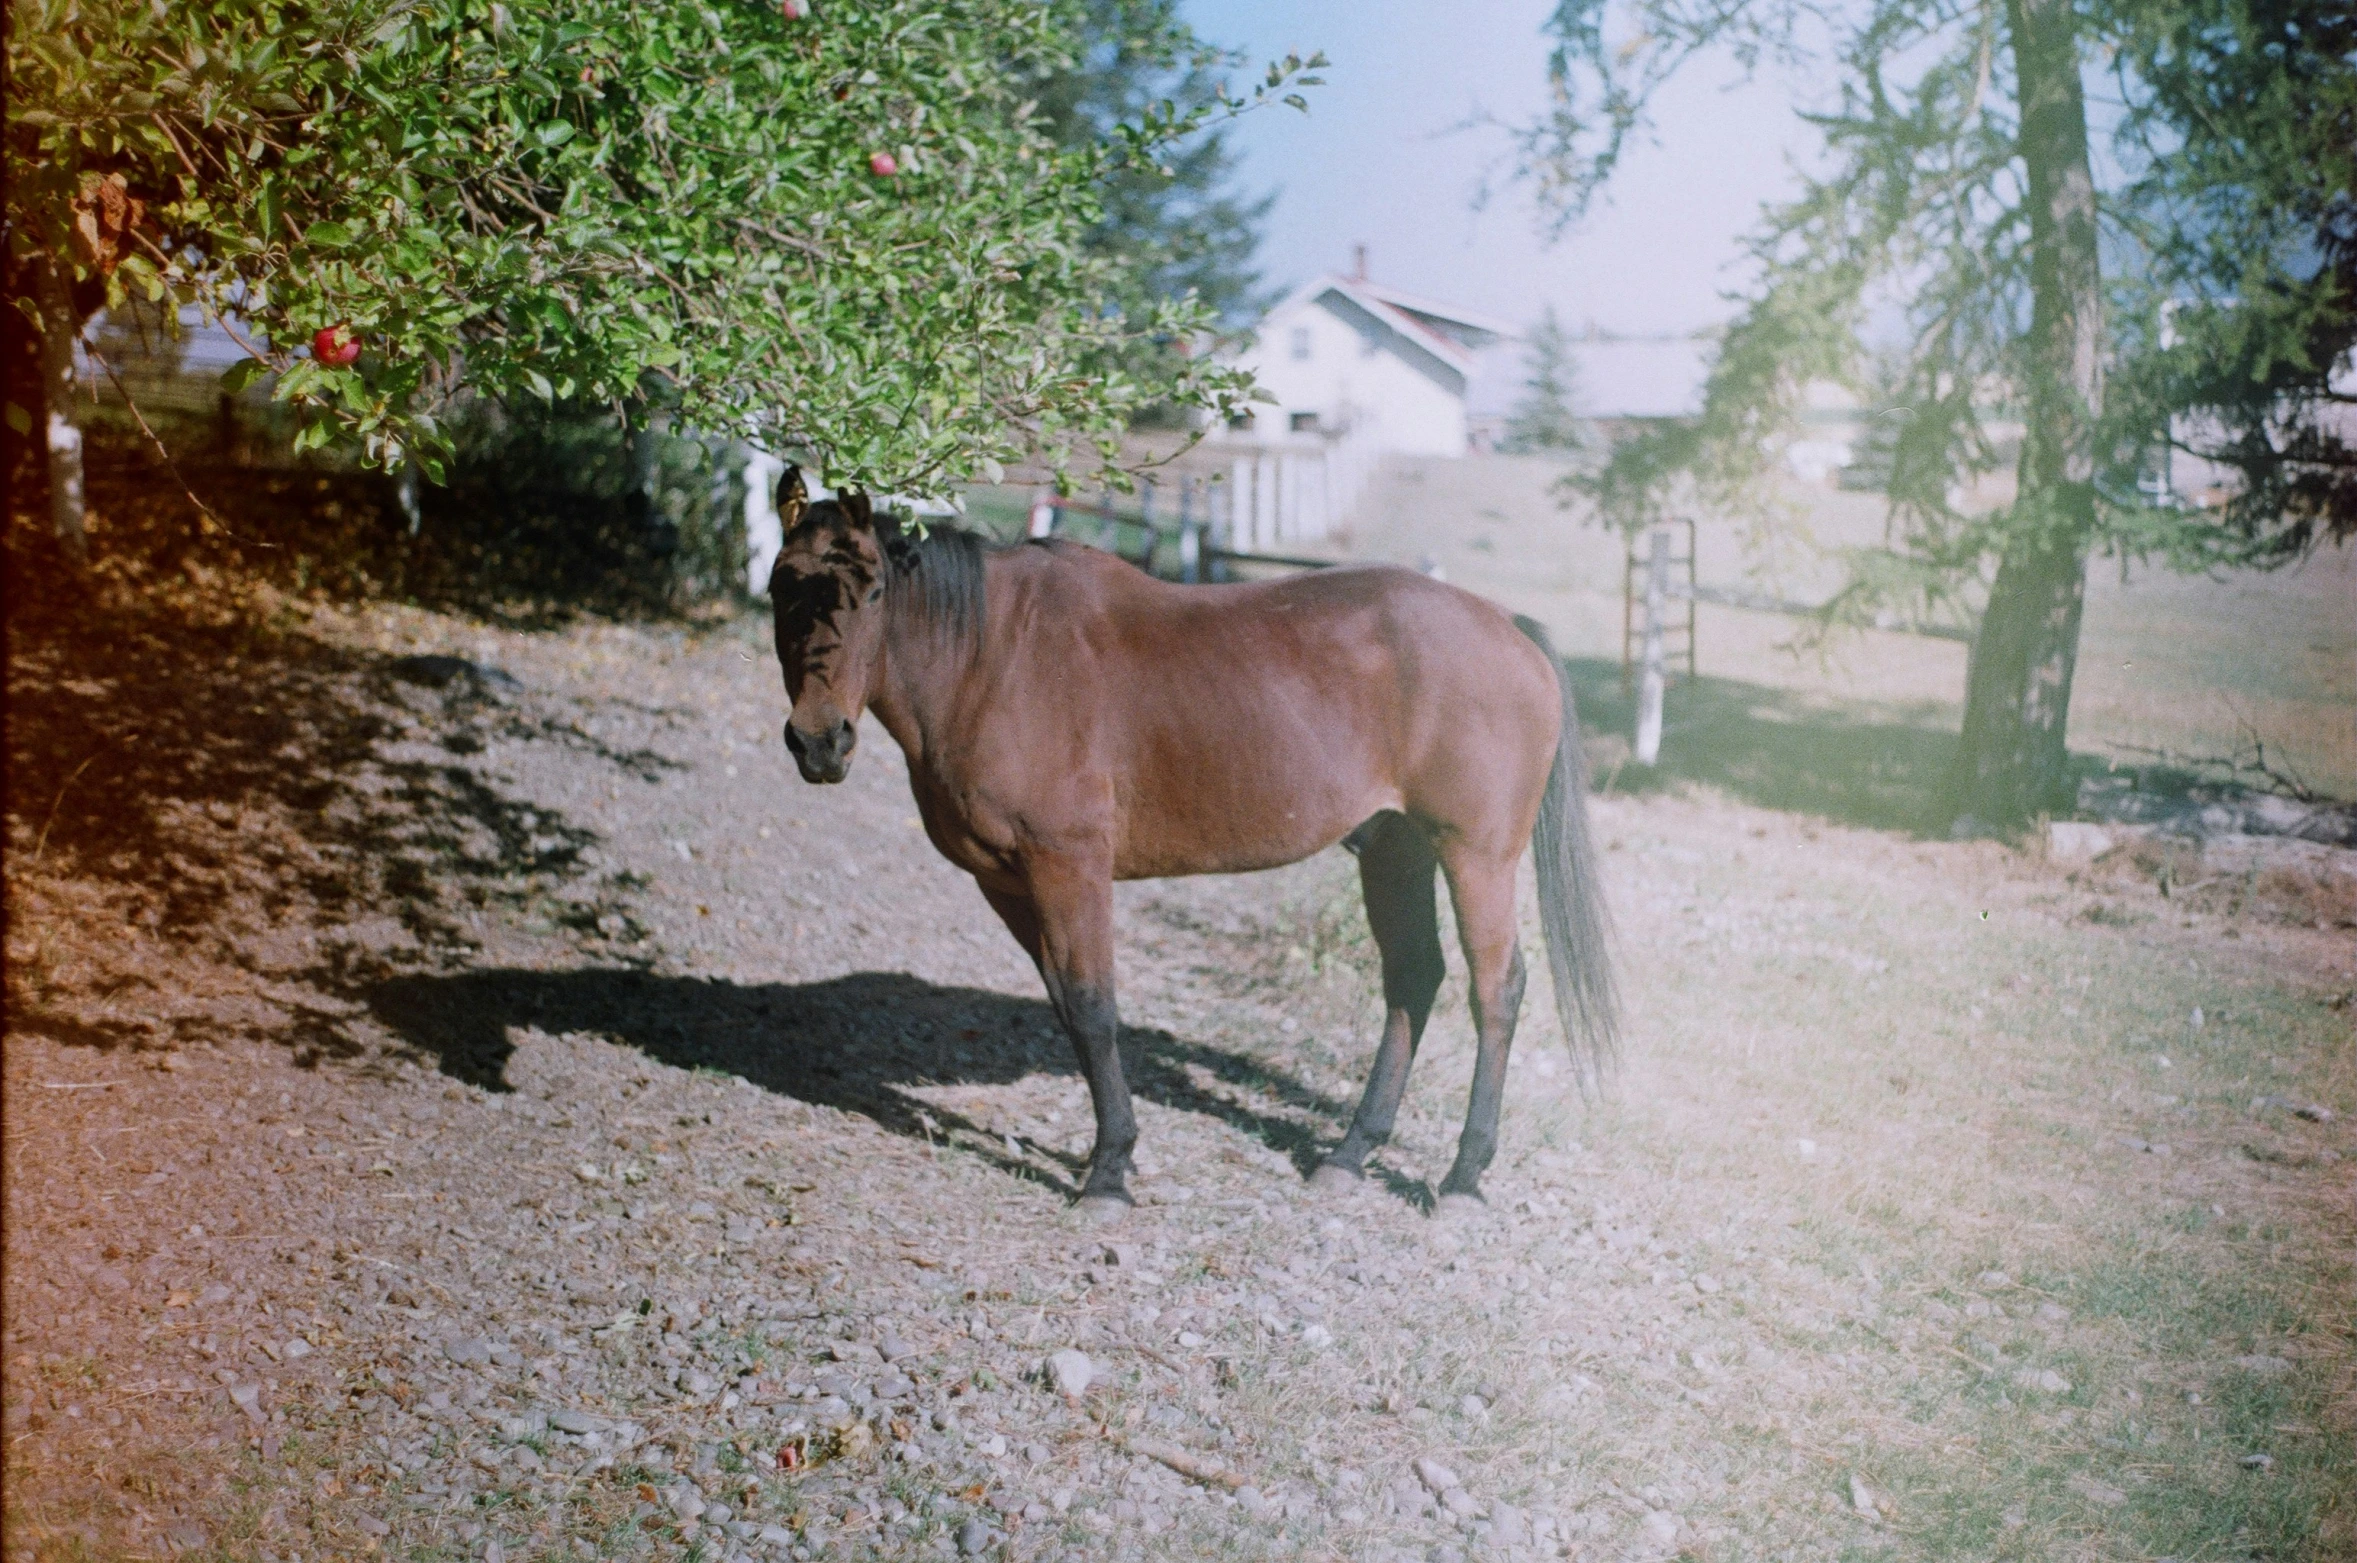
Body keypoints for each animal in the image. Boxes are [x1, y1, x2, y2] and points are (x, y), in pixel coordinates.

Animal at [773, 476, 1621, 1225]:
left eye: (872, 593)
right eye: (783, 587)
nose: (819, 741)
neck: (990, 658)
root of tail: (1506, 625)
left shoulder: (1069, 867)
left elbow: (1093, 1006)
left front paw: (1109, 1173)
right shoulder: (1008, 883)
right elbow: (1068, 1009)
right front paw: (1111, 1154)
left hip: (1475, 854)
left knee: (1496, 991)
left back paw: (1462, 1178)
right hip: (1394, 850)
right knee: (1413, 978)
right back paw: (1350, 1155)